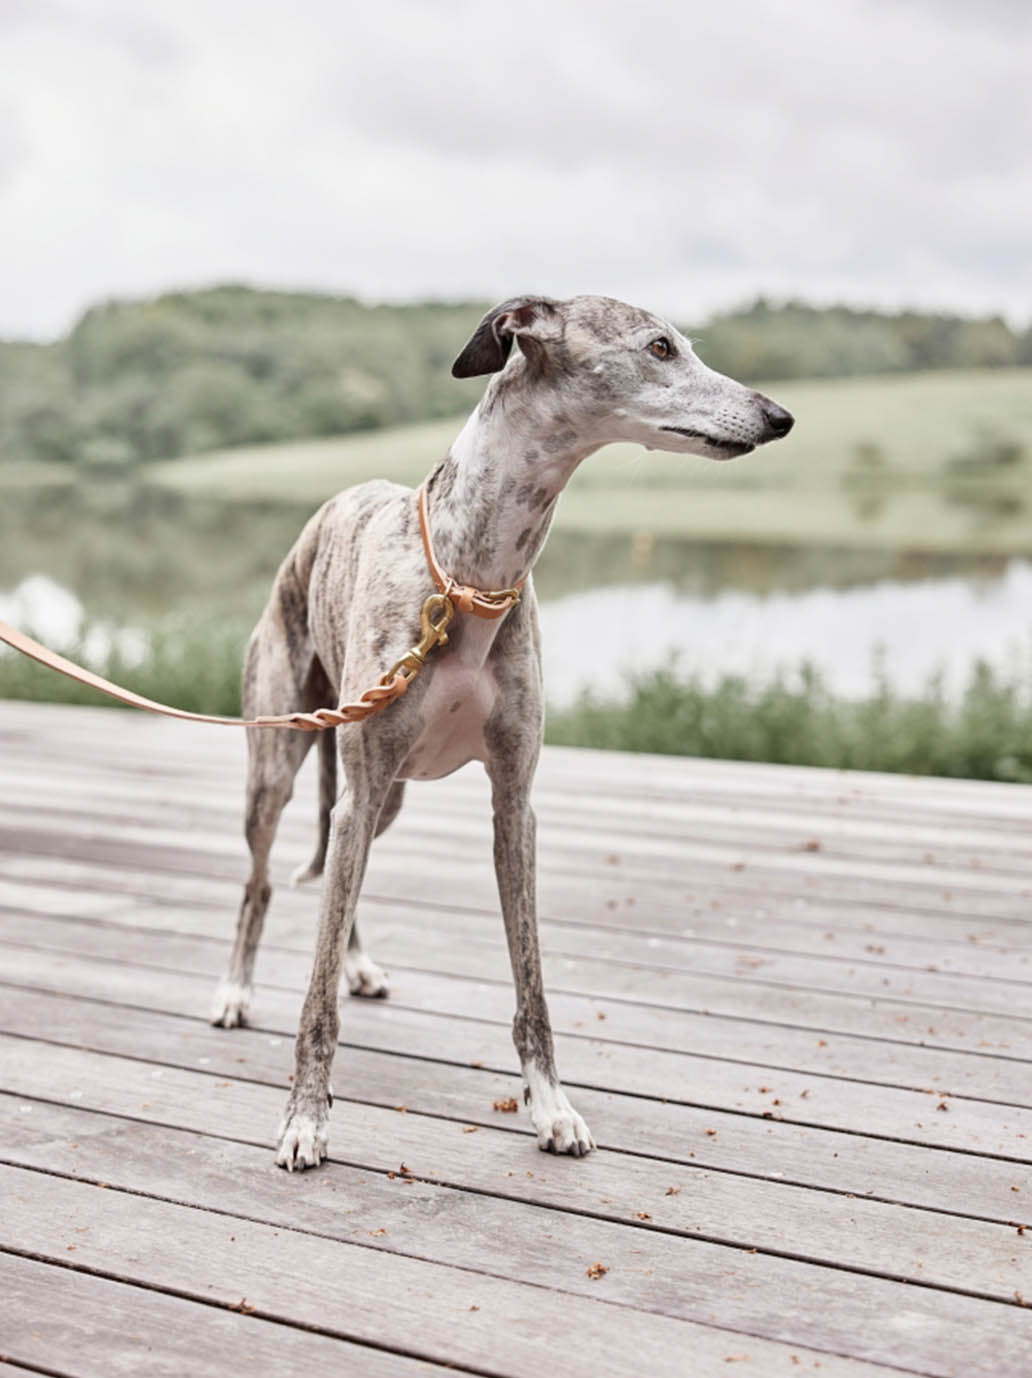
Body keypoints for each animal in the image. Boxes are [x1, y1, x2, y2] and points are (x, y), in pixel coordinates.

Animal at [205, 296, 793, 1168]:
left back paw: (357, 965)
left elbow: (531, 983)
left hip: (381, 798)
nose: (779, 416)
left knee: (346, 878)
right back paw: (236, 989)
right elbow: (314, 1002)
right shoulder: (365, 781)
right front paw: (305, 1119)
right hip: (280, 762)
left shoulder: (513, 800)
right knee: (261, 883)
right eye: (660, 347)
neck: (470, 578)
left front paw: (551, 1108)